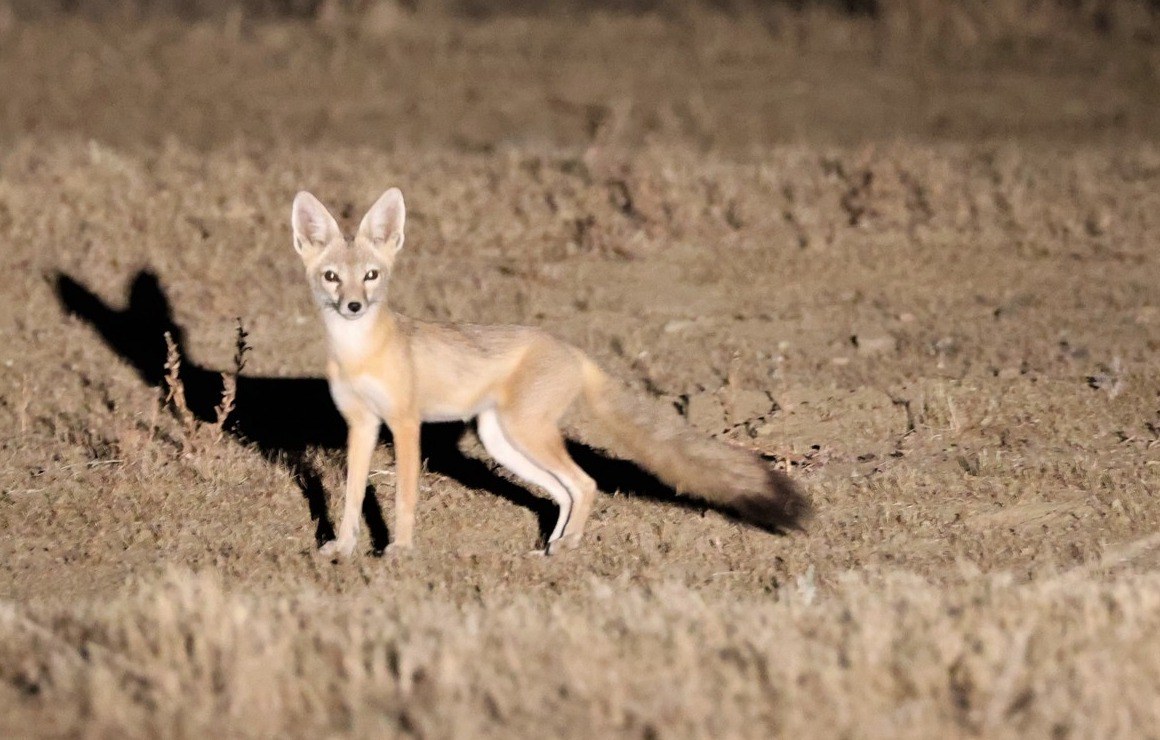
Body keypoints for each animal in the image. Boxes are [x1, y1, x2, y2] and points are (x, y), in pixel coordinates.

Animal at [291, 188, 810, 557]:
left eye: (372, 276)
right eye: (332, 277)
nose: (354, 306)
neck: (360, 353)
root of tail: (573, 348)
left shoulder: (404, 423)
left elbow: (402, 497)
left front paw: (399, 550)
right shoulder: (361, 425)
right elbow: (353, 496)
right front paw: (343, 548)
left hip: (525, 433)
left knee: (586, 484)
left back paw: (567, 546)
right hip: (503, 440)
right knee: (565, 491)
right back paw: (549, 548)